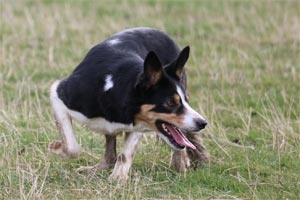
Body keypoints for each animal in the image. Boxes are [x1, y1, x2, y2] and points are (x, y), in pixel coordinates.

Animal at [49, 27, 209, 181]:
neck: (114, 89)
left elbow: (125, 154)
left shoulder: (138, 123)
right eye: (170, 102)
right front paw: (56, 147)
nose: (203, 123)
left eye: (186, 99)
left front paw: (118, 178)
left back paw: (181, 163)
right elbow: (72, 147)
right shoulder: (59, 93)